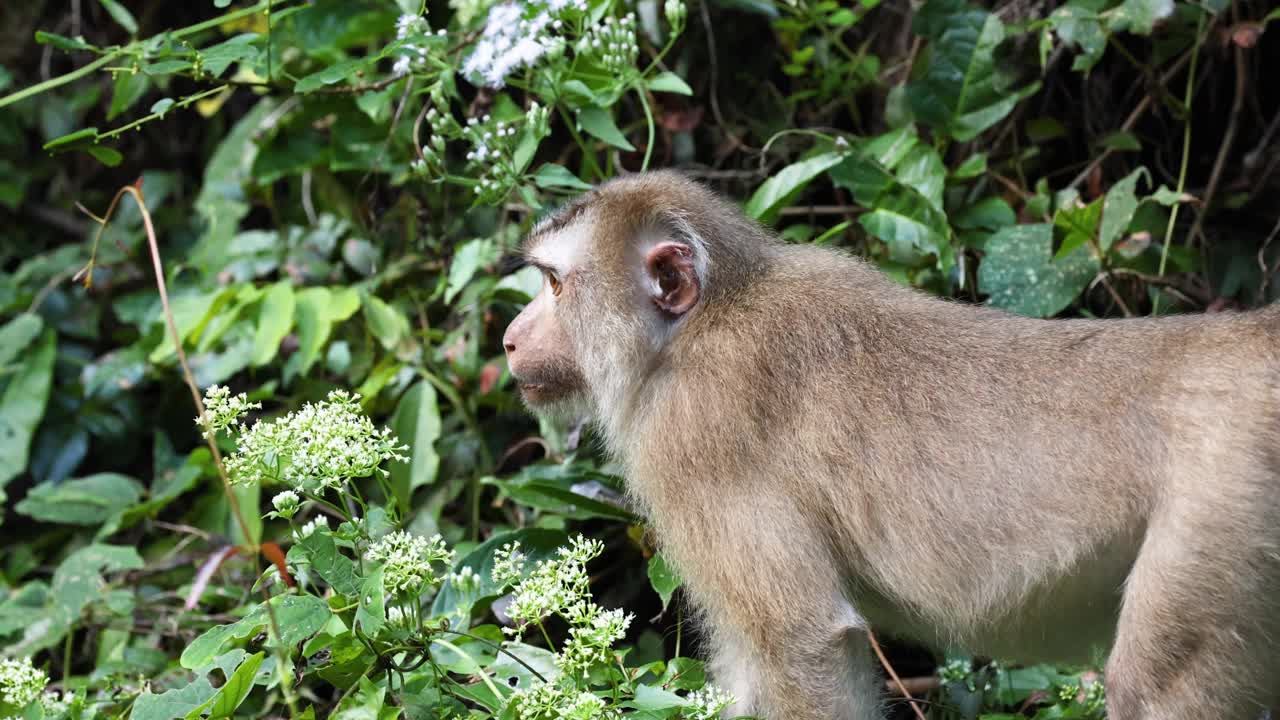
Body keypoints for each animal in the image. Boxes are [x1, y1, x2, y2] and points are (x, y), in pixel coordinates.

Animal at [499, 169, 1280, 717]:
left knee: (1156, 687)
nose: (509, 337)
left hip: (1226, 508)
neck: (699, 323)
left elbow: (802, 641)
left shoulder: (690, 440)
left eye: (555, 285)